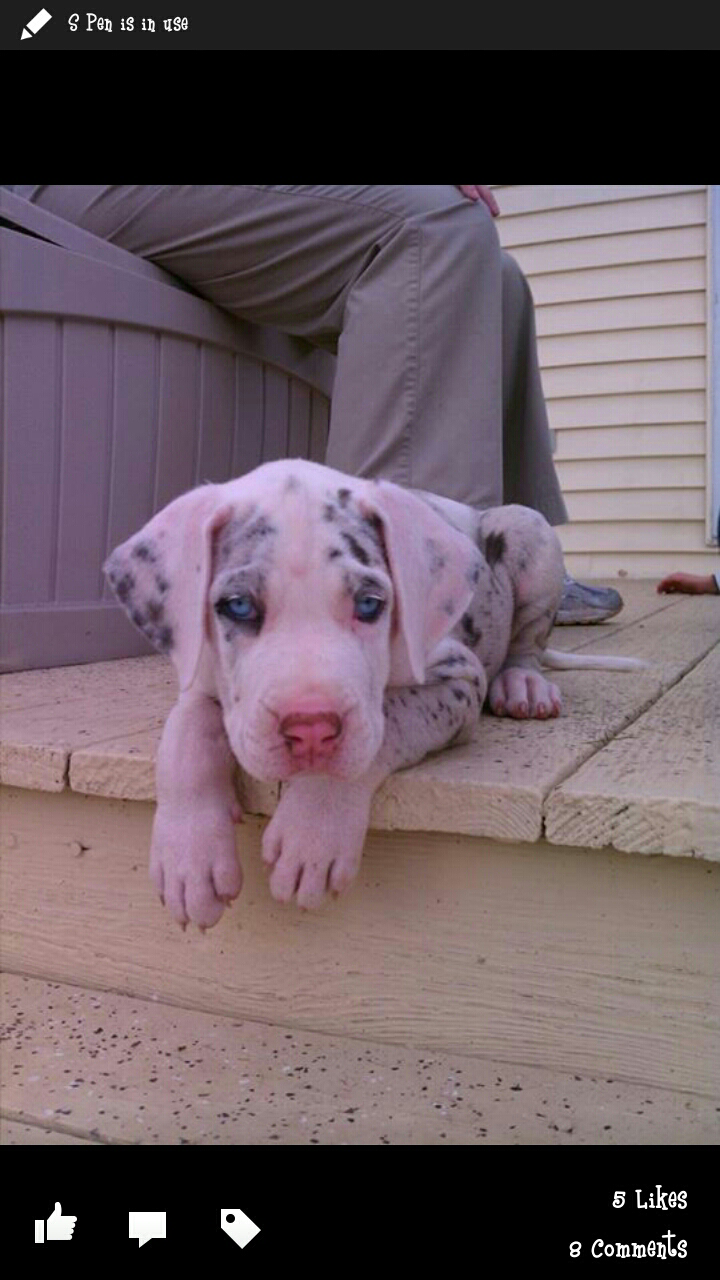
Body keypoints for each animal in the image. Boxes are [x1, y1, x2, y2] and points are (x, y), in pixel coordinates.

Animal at [105, 458, 641, 926]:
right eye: (237, 605)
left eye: (369, 604)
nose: (311, 730)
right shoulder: (201, 672)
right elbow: (186, 732)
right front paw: (187, 857)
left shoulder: (458, 679)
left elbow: (387, 720)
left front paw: (313, 833)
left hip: (529, 531)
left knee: (527, 641)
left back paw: (522, 684)